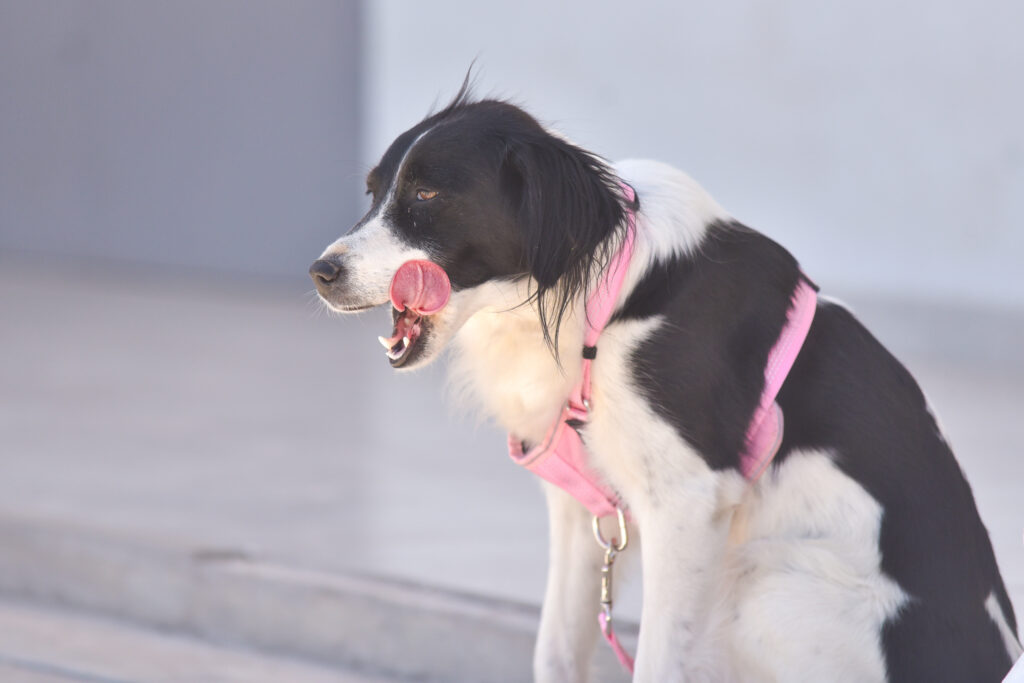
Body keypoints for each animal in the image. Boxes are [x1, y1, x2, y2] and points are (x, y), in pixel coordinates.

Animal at [310, 86, 1021, 682]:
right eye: (373, 193)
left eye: (427, 195)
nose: (320, 272)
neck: (601, 300)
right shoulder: (581, 513)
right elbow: (556, 650)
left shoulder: (686, 502)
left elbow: (657, 661)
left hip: (758, 583)